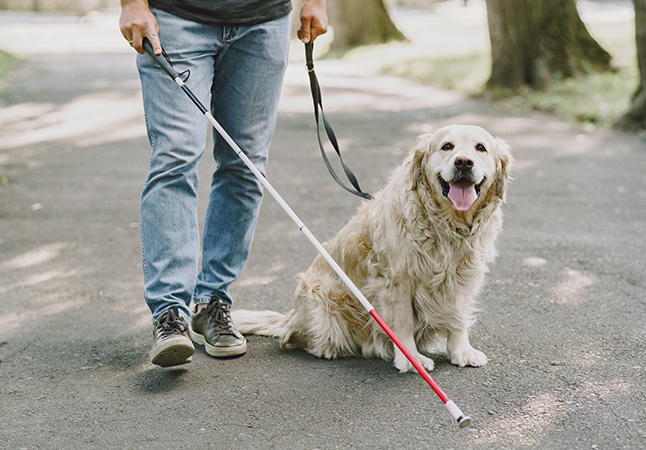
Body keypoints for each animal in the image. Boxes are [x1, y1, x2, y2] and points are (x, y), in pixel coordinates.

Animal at [230, 124, 512, 372]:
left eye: (480, 148)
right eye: (447, 146)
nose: (464, 162)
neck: (449, 225)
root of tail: (292, 314)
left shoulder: (464, 276)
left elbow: (458, 318)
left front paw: (461, 352)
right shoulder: (396, 281)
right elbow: (403, 323)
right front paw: (411, 360)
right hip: (320, 292)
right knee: (290, 337)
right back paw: (327, 347)